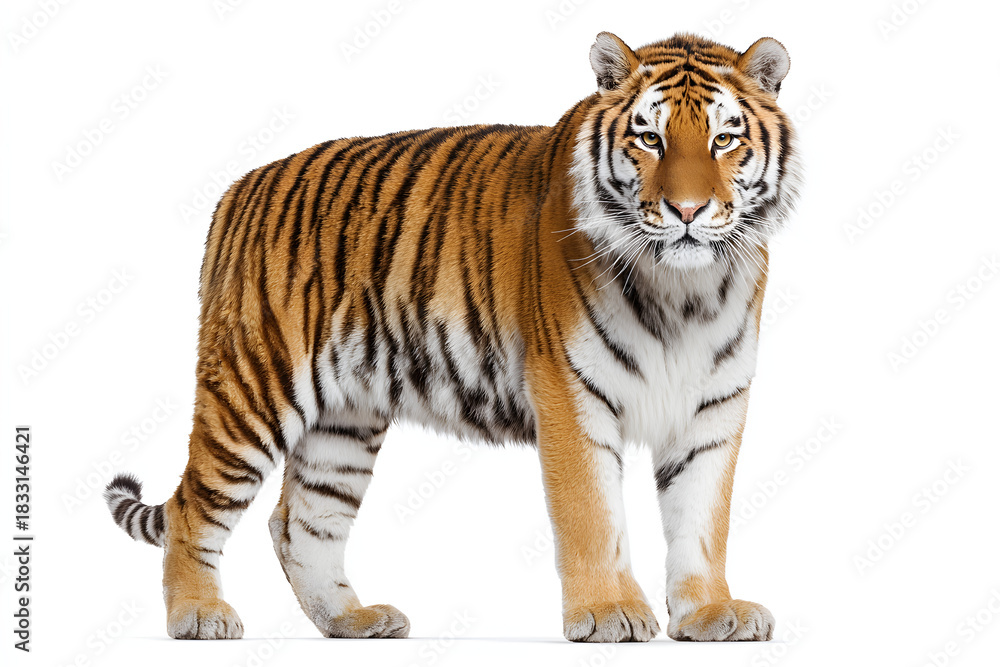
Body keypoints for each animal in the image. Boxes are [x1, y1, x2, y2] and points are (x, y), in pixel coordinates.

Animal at [104, 31, 801, 642]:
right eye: (649, 139)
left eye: (724, 139)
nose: (687, 212)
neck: (686, 291)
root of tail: (237, 189)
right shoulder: (571, 394)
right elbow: (592, 515)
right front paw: (609, 615)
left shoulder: (714, 406)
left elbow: (703, 521)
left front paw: (708, 615)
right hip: (253, 387)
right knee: (194, 508)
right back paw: (199, 617)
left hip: (344, 421)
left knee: (299, 523)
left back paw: (352, 622)